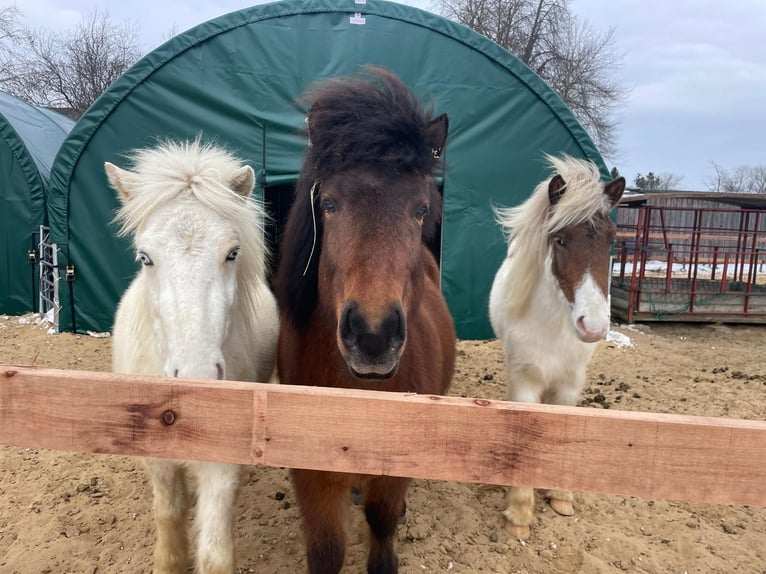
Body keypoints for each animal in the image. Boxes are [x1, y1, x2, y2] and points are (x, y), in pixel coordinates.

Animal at [107, 139, 279, 574]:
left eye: (233, 253)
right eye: (145, 257)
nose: (198, 376)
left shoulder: (221, 464)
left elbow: (215, 551)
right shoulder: (158, 459)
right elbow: (169, 513)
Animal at [274, 67, 456, 574]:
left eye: (420, 209)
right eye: (329, 204)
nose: (373, 337)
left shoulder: (394, 471)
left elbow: (382, 520)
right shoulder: (311, 475)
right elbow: (326, 550)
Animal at [488, 155, 624, 540]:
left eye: (611, 240)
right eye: (560, 239)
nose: (593, 326)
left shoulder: (568, 385)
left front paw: (561, 496)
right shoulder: (526, 382)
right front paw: (520, 512)